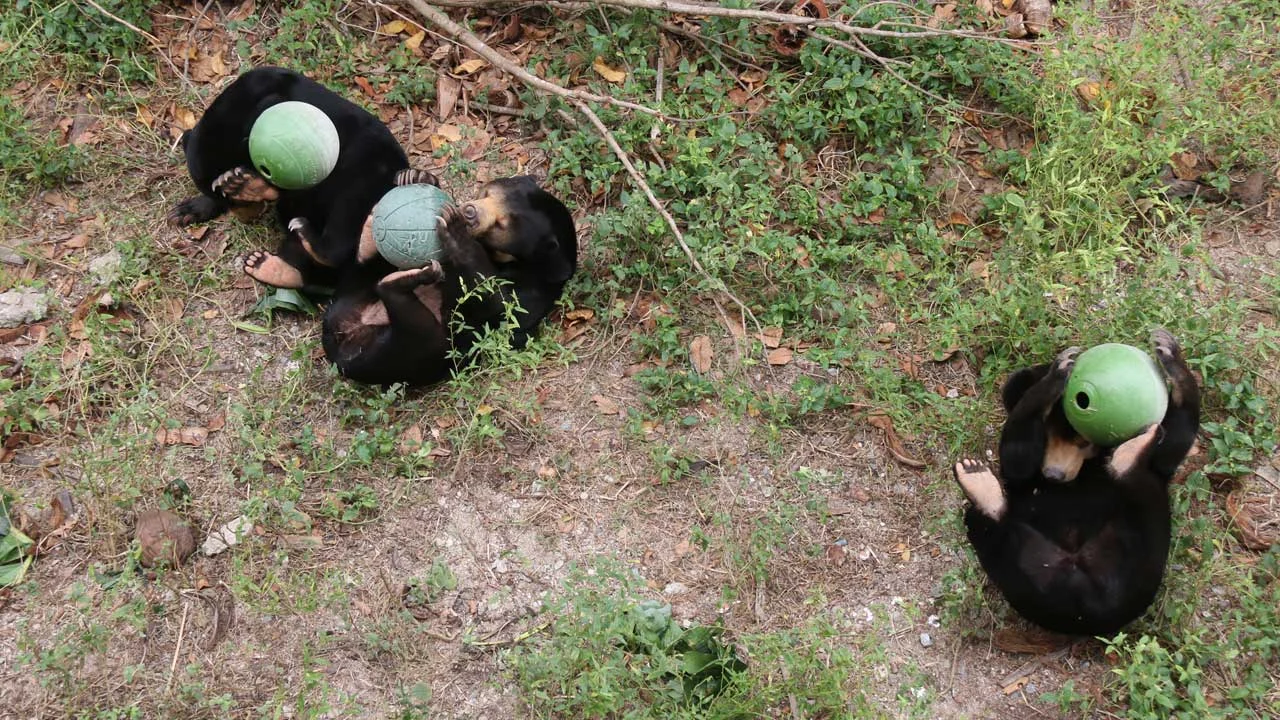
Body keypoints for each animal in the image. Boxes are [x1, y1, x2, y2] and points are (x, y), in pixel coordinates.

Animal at [167, 66, 409, 291]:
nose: (248, 211)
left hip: (367, 172)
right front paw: (186, 211)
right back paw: (272, 268)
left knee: (346, 215)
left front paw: (246, 186)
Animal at [320, 174, 577, 387]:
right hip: (353, 292)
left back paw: (406, 279)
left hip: (406, 356)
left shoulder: (534, 292)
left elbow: (503, 311)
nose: (469, 211)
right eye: (486, 193)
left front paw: (455, 231)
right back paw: (371, 230)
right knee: (365, 268)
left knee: (417, 330)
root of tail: (337, 336)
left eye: (500, 225)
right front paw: (418, 177)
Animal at [953, 328, 1201, 636]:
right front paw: (1057, 374)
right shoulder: (1026, 472)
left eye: (1084, 441)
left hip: (1144, 554)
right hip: (1027, 579)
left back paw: (1131, 453)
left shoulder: (1161, 459)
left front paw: (1169, 352)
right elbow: (1018, 458)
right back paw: (977, 480)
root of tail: (1089, 606)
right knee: (993, 536)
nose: (1054, 475)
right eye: (1049, 435)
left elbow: (1174, 443)